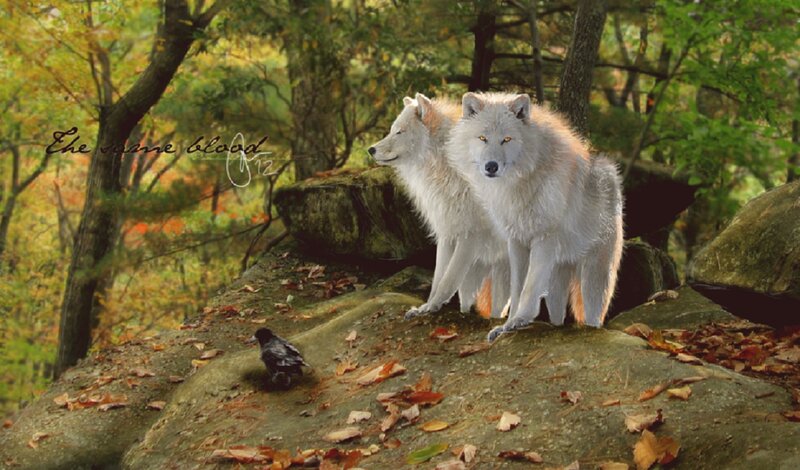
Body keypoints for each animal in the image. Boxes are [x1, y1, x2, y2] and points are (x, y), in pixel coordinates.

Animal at [369, 93, 510, 319]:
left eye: (400, 132)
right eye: (392, 130)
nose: (370, 149)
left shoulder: (471, 236)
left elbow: (449, 278)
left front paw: (432, 306)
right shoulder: (447, 232)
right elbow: (439, 278)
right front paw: (426, 306)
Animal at [447, 92, 624, 341]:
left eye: (507, 139)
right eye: (482, 138)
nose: (491, 166)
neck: (520, 183)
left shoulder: (543, 240)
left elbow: (529, 288)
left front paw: (519, 320)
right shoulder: (517, 242)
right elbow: (517, 288)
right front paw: (506, 324)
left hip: (594, 278)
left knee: (594, 315)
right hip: (557, 281)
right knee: (558, 313)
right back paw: (556, 327)